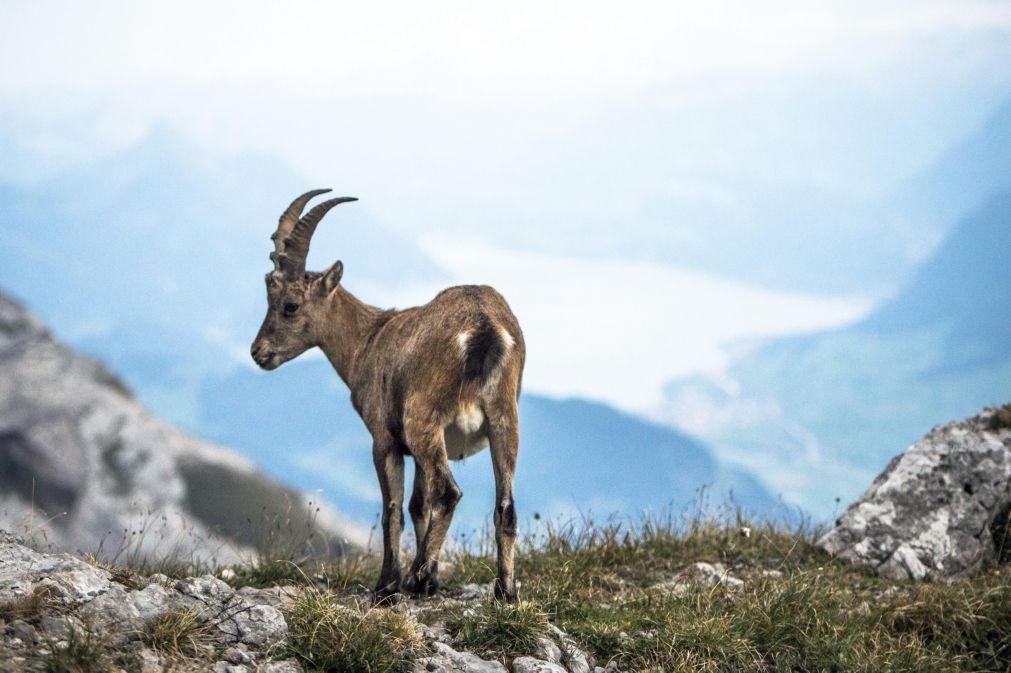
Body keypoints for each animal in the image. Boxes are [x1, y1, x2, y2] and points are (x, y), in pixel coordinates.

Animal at [248, 189, 525, 602]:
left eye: (290, 306)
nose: (258, 353)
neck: (369, 339)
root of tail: (485, 328)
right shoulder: (430, 446)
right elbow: (418, 505)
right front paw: (432, 582)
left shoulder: (385, 440)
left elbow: (392, 509)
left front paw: (388, 584)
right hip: (502, 420)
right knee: (503, 506)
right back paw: (503, 591)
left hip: (423, 419)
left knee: (449, 493)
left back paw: (413, 575)